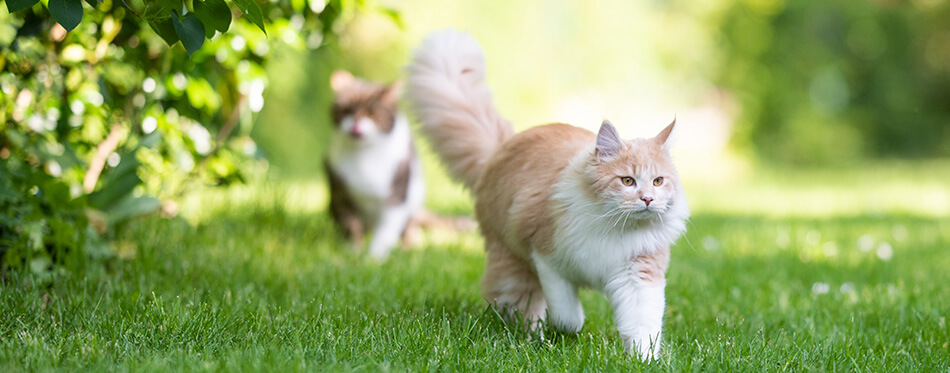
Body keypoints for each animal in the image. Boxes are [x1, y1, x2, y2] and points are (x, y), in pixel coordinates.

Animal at [326, 71, 426, 260]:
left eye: (372, 112)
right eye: (346, 110)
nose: (355, 123)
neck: (365, 154)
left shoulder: (397, 195)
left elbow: (386, 231)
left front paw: (374, 258)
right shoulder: (340, 193)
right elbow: (352, 225)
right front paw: (353, 250)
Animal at [406, 30, 688, 358]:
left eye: (658, 181)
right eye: (628, 181)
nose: (647, 200)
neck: (615, 229)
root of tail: (501, 148)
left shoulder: (638, 276)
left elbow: (642, 327)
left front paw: (644, 359)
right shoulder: (547, 259)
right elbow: (568, 314)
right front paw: (568, 329)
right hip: (514, 265)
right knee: (515, 303)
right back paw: (530, 337)